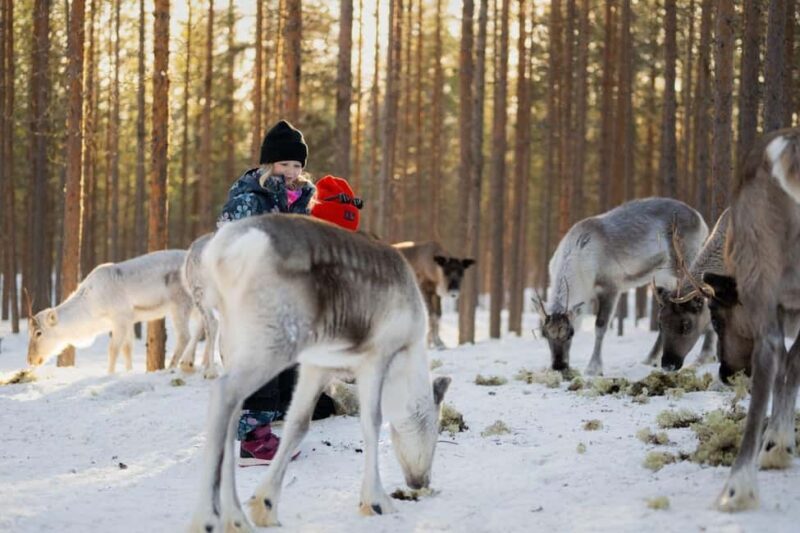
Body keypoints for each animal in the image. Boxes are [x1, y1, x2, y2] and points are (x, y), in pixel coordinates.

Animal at [27, 250, 194, 373]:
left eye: (38, 333)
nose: (29, 359)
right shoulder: (129, 320)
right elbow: (127, 348)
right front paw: (128, 371)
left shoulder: (121, 319)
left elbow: (113, 349)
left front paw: (110, 373)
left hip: (180, 304)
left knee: (185, 336)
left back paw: (172, 366)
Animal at [189, 214, 450, 532]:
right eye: (434, 429)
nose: (420, 481)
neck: (405, 358)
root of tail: (222, 251)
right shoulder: (375, 357)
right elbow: (372, 423)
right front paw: (375, 500)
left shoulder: (316, 365)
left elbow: (298, 425)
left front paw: (266, 504)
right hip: (272, 343)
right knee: (222, 394)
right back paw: (208, 517)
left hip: (234, 339)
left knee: (232, 413)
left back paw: (236, 517)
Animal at [533, 197, 709, 376]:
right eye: (545, 333)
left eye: (571, 333)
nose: (558, 365)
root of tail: (700, 219)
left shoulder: (611, 287)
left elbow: (600, 326)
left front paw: (593, 368)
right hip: (663, 278)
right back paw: (650, 359)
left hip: (686, 265)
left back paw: (705, 356)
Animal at [693, 128, 800, 512]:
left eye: (715, 316)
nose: (726, 372)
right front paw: (780, 439)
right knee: (776, 356)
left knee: (772, 354)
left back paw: (739, 484)